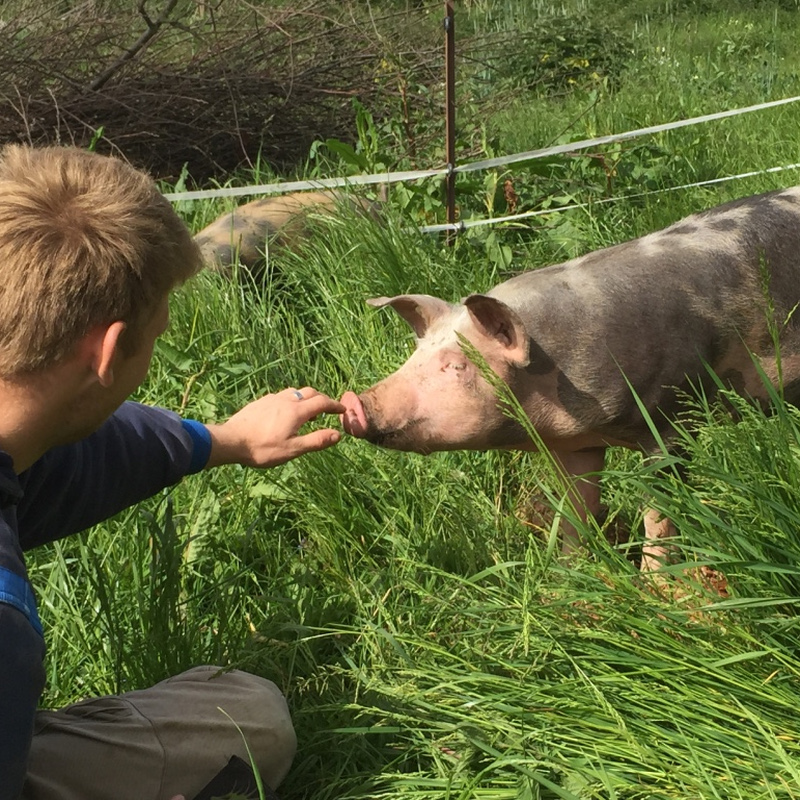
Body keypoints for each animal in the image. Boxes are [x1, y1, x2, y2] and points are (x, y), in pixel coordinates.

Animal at [340, 188, 800, 568]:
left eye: (457, 364)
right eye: (414, 356)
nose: (354, 401)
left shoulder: (672, 420)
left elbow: (659, 514)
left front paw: (658, 587)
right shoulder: (578, 444)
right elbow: (576, 509)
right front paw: (569, 574)